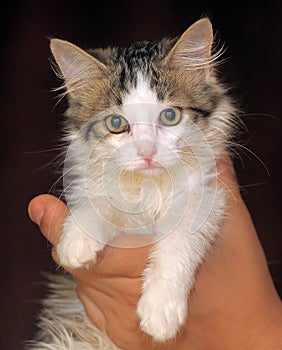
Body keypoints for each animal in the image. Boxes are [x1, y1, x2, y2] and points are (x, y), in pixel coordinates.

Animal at [29, 17, 236, 348]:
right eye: (116, 124)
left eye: (170, 116)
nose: (147, 152)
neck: (149, 186)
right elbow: (98, 198)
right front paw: (77, 240)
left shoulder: (207, 195)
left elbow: (178, 241)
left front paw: (161, 309)